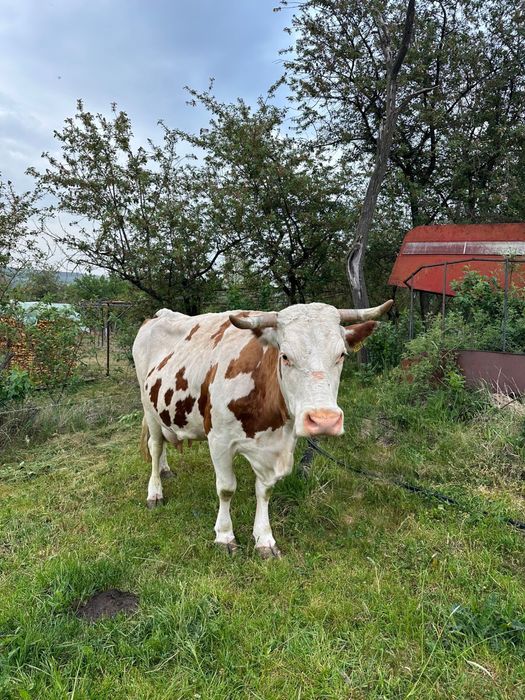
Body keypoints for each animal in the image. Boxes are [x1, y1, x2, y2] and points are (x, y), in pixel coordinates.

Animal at [132, 300, 392, 558]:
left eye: (341, 355)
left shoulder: (277, 446)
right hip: (148, 407)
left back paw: (165, 469)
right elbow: (226, 489)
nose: (324, 420)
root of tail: (159, 315)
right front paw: (224, 535)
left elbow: (264, 491)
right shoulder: (219, 440)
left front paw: (264, 539)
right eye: (285, 356)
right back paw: (155, 491)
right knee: (155, 446)